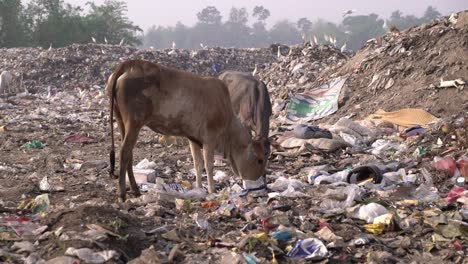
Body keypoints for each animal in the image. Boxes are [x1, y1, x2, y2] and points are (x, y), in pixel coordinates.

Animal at [107, 59, 266, 200]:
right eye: (260, 160)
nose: (261, 182)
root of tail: (129, 64)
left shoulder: (193, 139)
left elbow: (198, 164)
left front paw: (199, 188)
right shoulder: (210, 138)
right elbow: (209, 165)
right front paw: (212, 190)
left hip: (121, 121)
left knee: (129, 154)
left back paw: (135, 189)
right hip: (134, 122)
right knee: (124, 152)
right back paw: (122, 192)